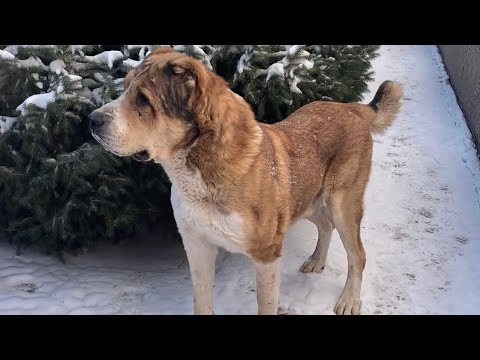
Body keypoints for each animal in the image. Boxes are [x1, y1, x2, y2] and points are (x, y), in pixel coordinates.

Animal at [89, 47, 402, 316]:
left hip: (342, 204)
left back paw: (349, 300)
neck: (201, 171)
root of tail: (350, 108)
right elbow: (201, 301)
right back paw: (316, 260)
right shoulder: (197, 246)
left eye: (143, 99)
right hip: (305, 199)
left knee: (357, 254)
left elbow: (265, 304)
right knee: (325, 225)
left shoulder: (266, 255)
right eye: (124, 88)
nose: (90, 120)